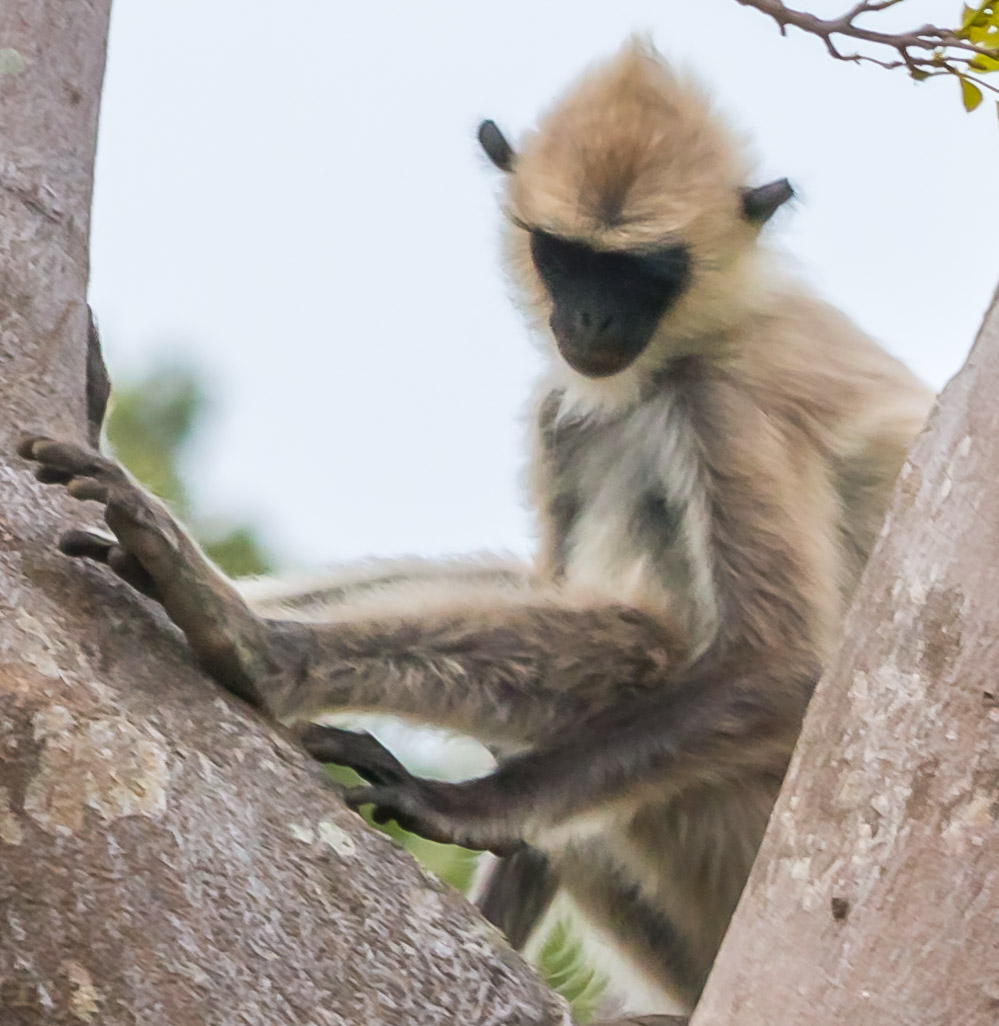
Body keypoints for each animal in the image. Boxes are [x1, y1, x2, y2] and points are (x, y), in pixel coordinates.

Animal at [17, 37, 939, 1017]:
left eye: (641, 272)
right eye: (564, 259)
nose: (592, 315)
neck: (681, 349)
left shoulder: (726, 401)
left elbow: (779, 669)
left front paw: (464, 808)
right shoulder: (564, 412)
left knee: (641, 640)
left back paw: (251, 644)